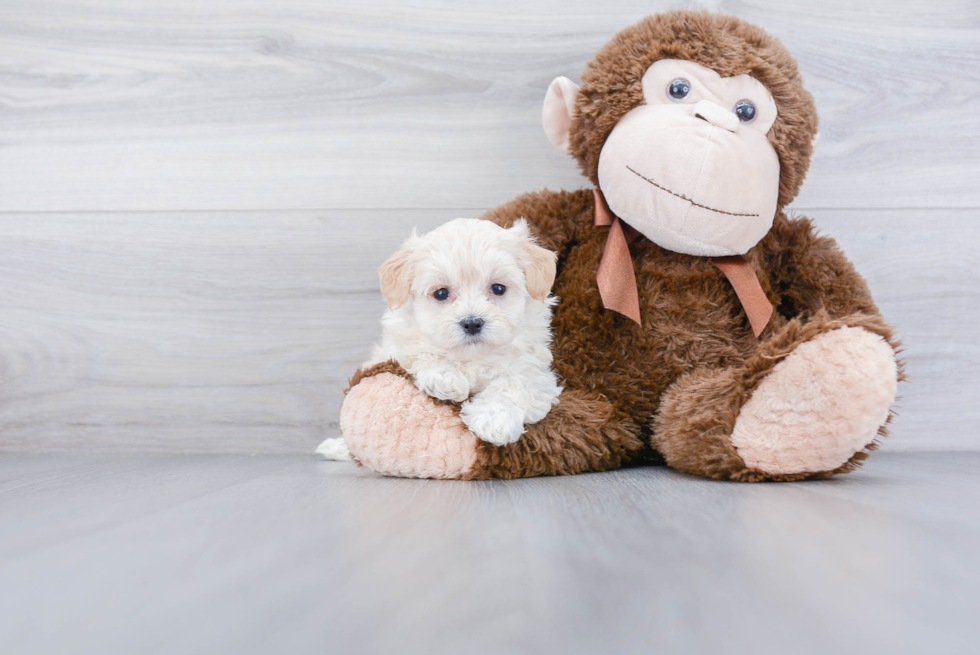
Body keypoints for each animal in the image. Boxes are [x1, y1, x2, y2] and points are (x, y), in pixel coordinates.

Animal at [316, 217, 560, 462]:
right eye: (441, 293)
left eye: (498, 288)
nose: (472, 323)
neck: (472, 358)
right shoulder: (396, 350)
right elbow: (419, 354)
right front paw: (445, 378)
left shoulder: (536, 372)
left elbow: (515, 382)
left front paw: (493, 419)